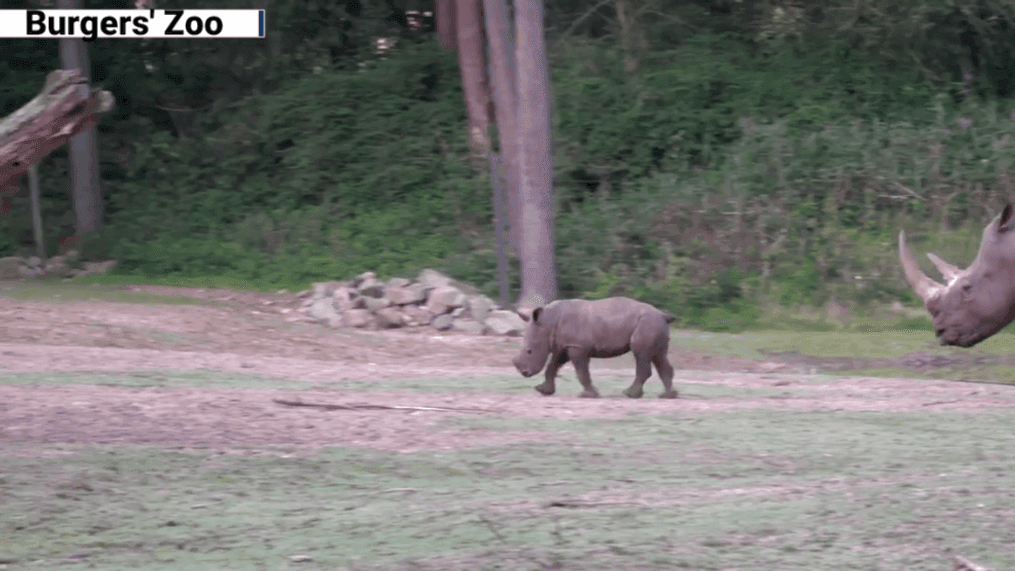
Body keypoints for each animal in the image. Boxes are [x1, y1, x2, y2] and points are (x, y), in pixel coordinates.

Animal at [511, 298, 678, 399]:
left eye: (529, 351)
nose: (524, 373)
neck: (547, 323)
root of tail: (663, 315)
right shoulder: (565, 345)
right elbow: (552, 366)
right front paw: (543, 391)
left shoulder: (577, 347)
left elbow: (581, 371)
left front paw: (588, 395)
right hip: (654, 324)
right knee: (659, 356)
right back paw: (667, 396)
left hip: (647, 323)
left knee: (641, 355)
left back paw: (629, 394)